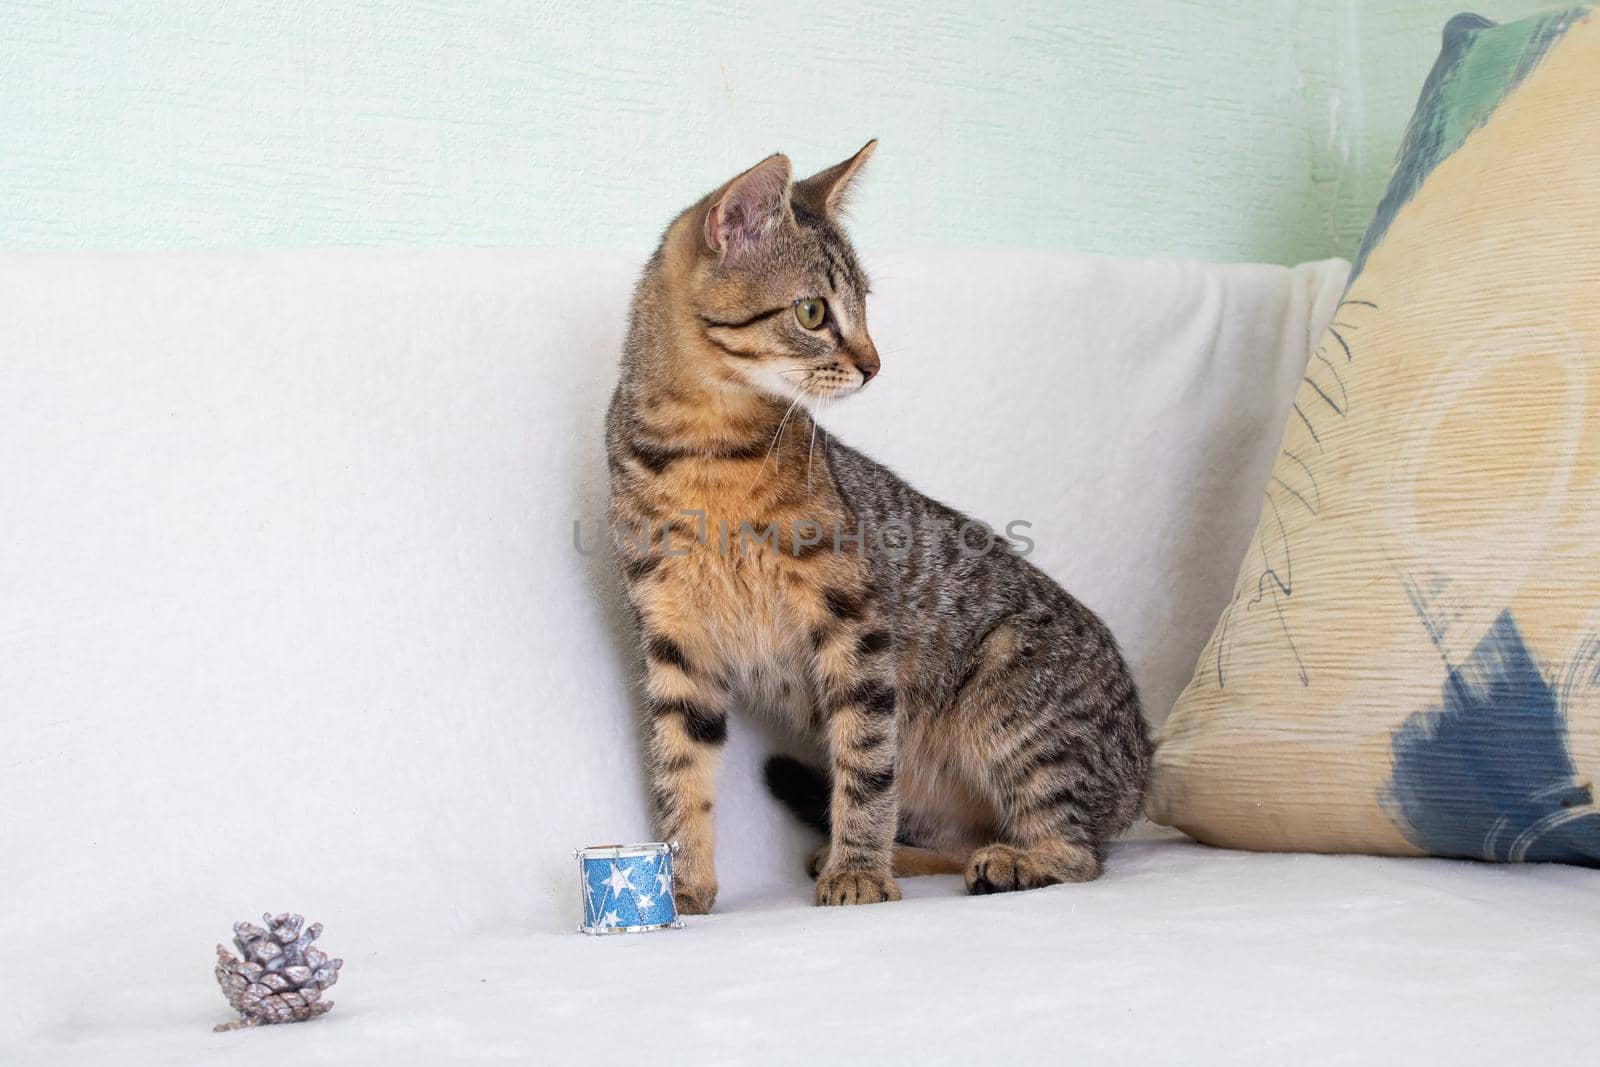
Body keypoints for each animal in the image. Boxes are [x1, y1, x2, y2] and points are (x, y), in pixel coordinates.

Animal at [601, 139, 1152, 908]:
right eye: (811, 312)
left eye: (863, 307)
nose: (874, 364)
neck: (705, 448)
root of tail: (1144, 768)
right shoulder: (675, 638)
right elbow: (680, 772)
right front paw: (679, 884)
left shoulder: (853, 621)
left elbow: (864, 761)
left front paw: (858, 871)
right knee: (959, 836)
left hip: (1015, 699)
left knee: (1080, 851)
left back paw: (1012, 859)